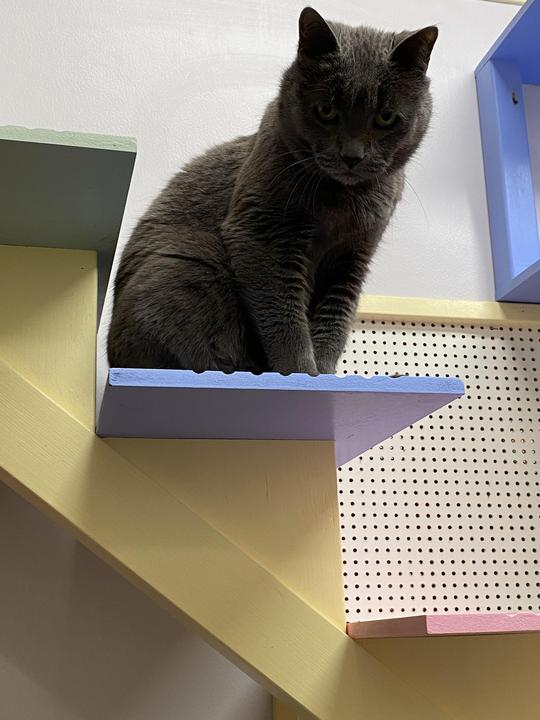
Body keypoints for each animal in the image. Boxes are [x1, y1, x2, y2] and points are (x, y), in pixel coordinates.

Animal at [108, 7, 437, 375]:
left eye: (385, 118)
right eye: (326, 110)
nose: (351, 156)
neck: (340, 201)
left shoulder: (353, 255)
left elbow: (335, 318)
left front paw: (325, 374)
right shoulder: (263, 235)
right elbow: (284, 316)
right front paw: (301, 373)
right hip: (187, 264)